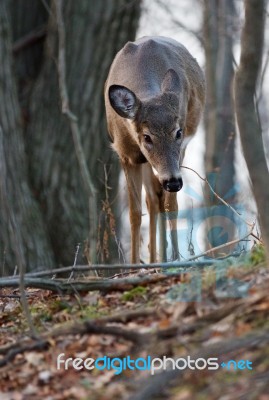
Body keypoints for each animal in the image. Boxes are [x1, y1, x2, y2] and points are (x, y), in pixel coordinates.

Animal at [103, 36, 204, 264]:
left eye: (178, 132)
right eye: (147, 136)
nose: (173, 182)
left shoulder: (179, 151)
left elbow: (171, 205)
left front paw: (175, 259)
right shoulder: (126, 155)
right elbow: (134, 213)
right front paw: (133, 266)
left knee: (160, 201)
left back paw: (165, 258)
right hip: (149, 164)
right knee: (152, 201)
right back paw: (153, 260)